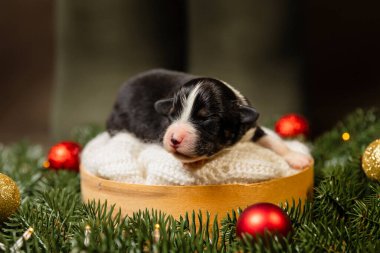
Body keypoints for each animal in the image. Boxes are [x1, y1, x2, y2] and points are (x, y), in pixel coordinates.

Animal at [106, 68, 312, 169]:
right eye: (172, 115)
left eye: (206, 119)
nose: (174, 139)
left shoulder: (251, 127)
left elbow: (273, 140)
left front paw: (297, 157)